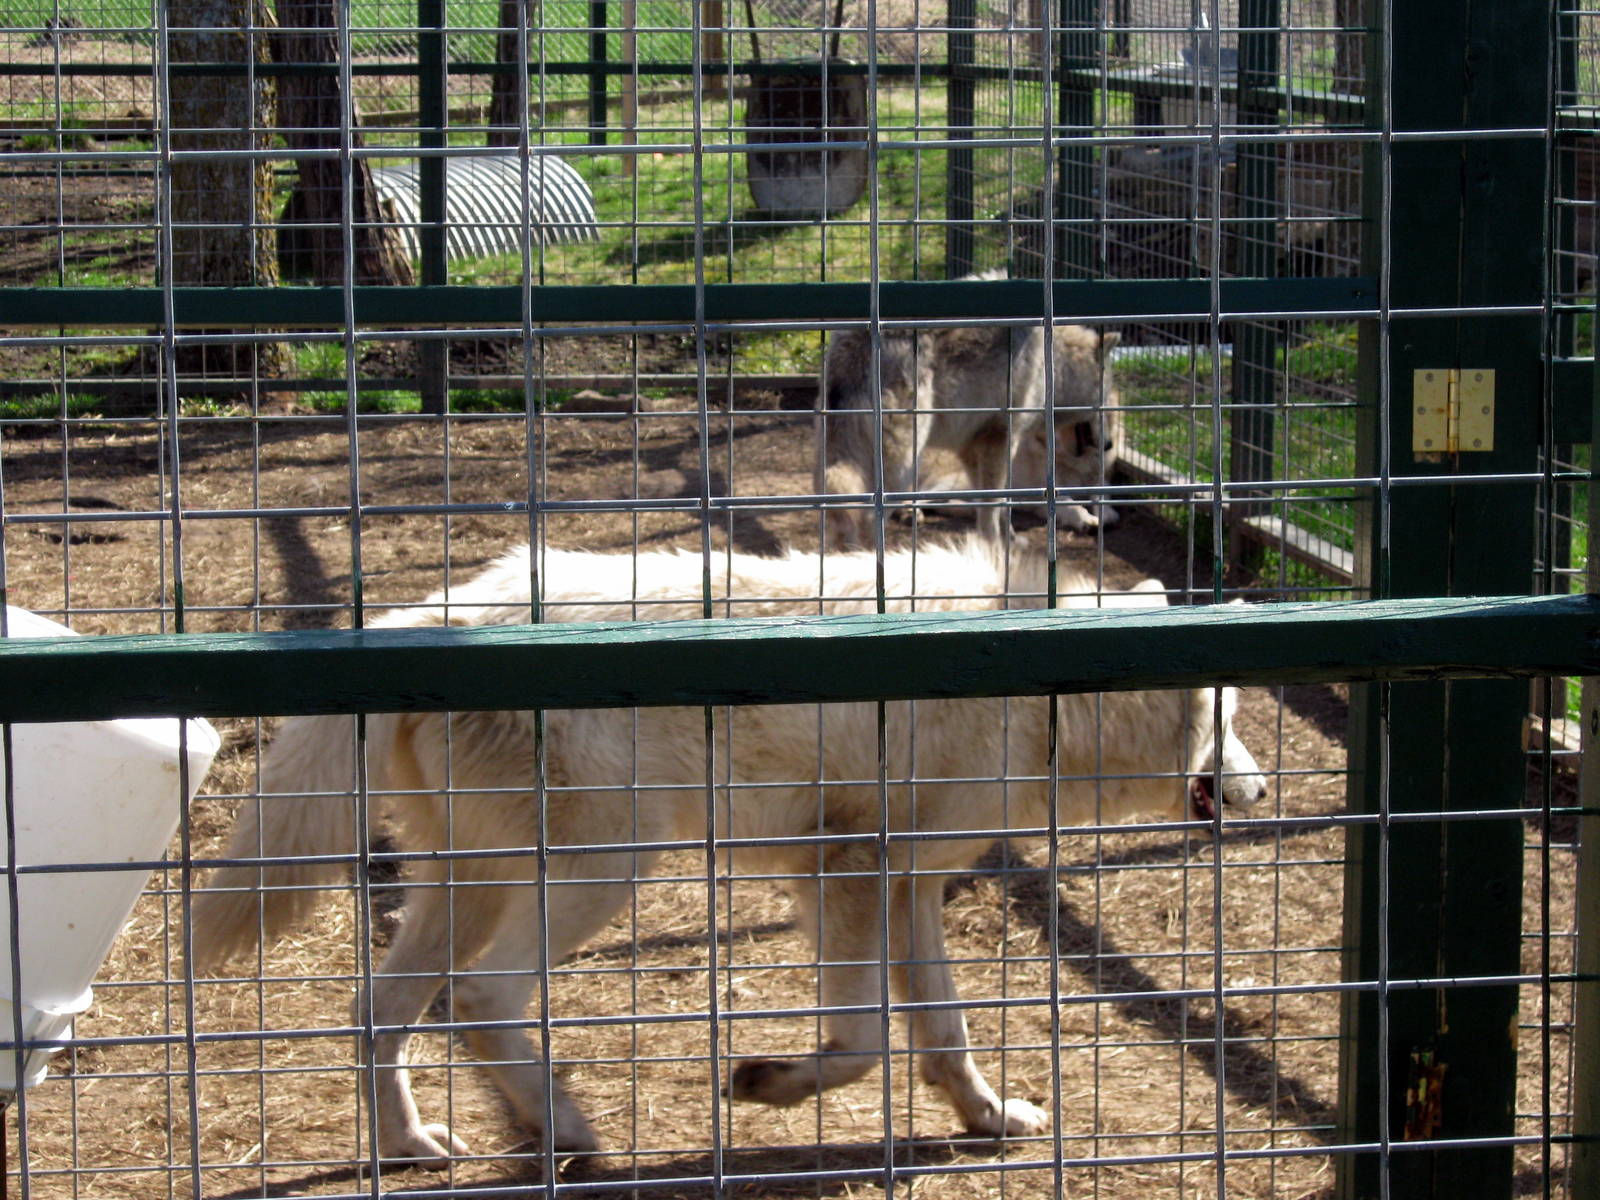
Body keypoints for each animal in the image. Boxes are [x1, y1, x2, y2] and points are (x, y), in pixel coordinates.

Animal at [193, 538, 1264, 1166]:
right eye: (1230, 721)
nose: (1261, 792)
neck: (1043, 690)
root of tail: (439, 612)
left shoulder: (905, 886)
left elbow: (945, 1033)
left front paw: (990, 1119)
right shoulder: (843, 873)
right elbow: (864, 1042)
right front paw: (770, 1084)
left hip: (474, 887)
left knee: (382, 1013)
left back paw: (417, 1146)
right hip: (606, 874)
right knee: (482, 999)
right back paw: (569, 1130)